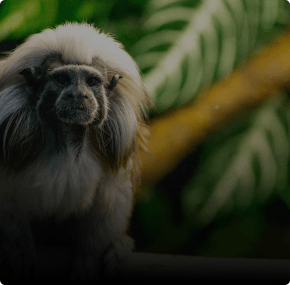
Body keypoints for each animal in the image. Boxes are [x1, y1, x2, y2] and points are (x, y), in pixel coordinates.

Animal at [0, 22, 150, 282]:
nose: (79, 95)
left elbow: (110, 201)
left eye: (91, 81)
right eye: (61, 79)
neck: (68, 138)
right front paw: (20, 252)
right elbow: (7, 205)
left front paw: (89, 260)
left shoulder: (114, 144)